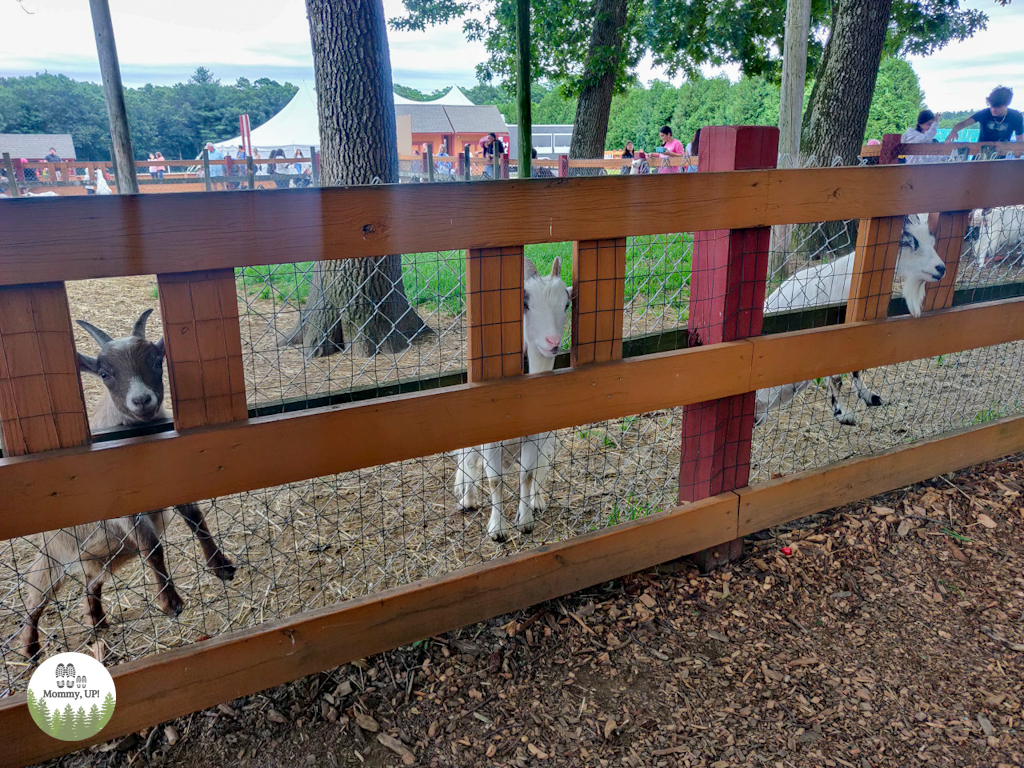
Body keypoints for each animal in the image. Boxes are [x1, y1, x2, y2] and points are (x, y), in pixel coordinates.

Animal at [18, 313, 235, 663]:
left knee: (90, 585)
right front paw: (171, 603)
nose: (142, 400)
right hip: (52, 558)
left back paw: (98, 621)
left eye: (157, 361)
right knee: (34, 599)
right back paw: (31, 648)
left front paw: (221, 566)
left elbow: (197, 520)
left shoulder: (174, 483)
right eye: (105, 373)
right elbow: (152, 547)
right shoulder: (123, 507)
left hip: (105, 560)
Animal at [454, 257, 573, 540]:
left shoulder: (535, 436)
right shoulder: (489, 437)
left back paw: (537, 499)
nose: (553, 341)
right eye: (525, 304)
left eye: (566, 304)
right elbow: (494, 480)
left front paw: (525, 521)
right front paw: (497, 530)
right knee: (467, 461)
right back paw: (468, 499)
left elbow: (527, 475)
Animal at [761, 215, 942, 428]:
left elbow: (856, 369)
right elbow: (837, 378)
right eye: (906, 242)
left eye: (931, 241)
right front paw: (843, 414)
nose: (941, 268)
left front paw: (869, 397)